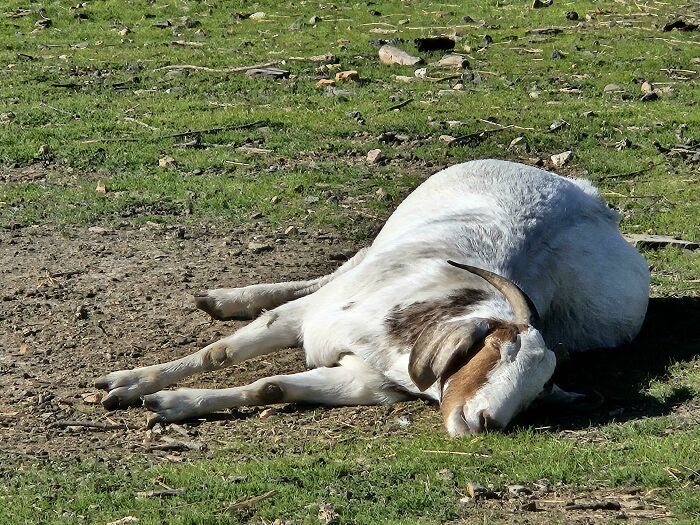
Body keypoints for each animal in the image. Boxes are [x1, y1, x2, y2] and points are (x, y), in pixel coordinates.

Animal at [96, 160, 650, 435]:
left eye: (539, 393)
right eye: (496, 348)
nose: (486, 420)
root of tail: (587, 195)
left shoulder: (365, 381)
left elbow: (271, 388)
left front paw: (172, 404)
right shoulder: (306, 321)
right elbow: (221, 351)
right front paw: (128, 384)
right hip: (371, 252)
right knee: (336, 270)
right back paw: (225, 299)